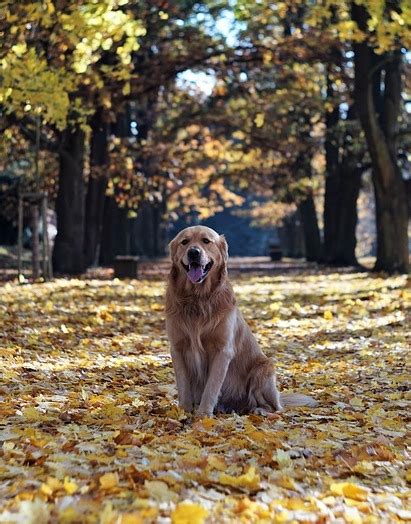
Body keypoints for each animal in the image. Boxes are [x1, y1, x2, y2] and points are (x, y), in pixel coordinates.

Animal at [165, 227, 318, 416]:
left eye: (206, 241)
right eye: (184, 242)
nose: (193, 252)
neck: (197, 299)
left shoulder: (222, 350)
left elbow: (211, 387)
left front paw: (203, 414)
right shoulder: (178, 347)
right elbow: (183, 385)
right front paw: (183, 412)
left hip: (263, 368)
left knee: (274, 407)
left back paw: (258, 410)